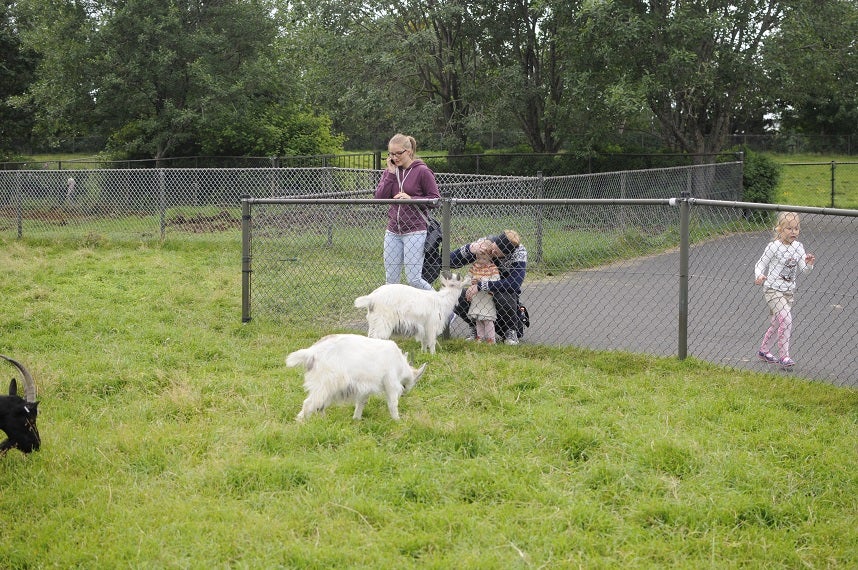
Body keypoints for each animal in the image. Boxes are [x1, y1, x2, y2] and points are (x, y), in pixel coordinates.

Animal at [284, 330, 424, 420]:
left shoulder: (365, 387)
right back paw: (301, 423)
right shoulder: (391, 383)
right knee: (309, 403)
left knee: (319, 405)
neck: (400, 363)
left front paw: (356, 419)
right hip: (326, 382)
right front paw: (397, 421)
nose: (405, 393)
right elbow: (393, 404)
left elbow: (361, 402)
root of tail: (312, 352)